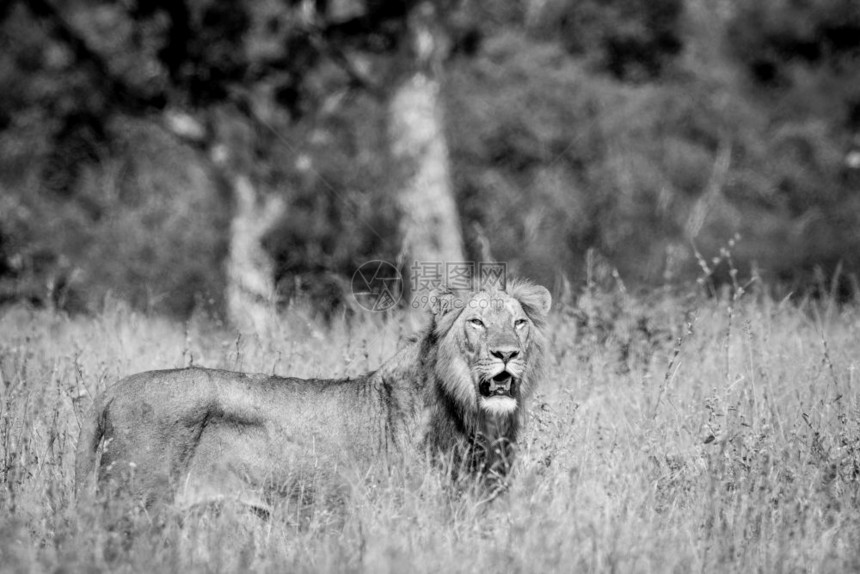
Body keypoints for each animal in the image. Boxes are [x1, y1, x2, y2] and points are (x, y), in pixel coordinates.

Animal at [77, 280, 556, 512]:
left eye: (518, 323)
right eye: (476, 322)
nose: (506, 354)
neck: (467, 412)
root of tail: (111, 390)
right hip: (134, 503)